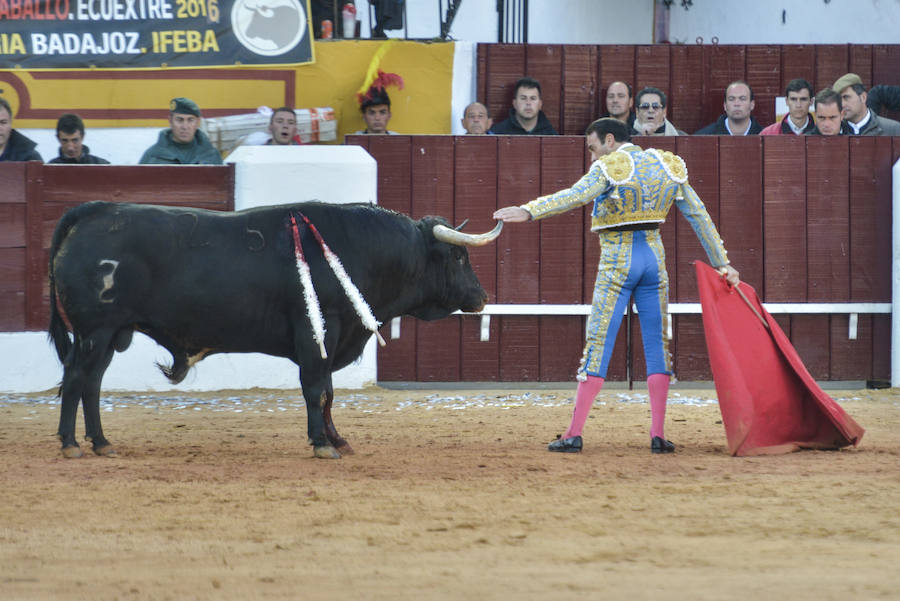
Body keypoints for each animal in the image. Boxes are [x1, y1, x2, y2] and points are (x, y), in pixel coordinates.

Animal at [49, 199, 502, 458]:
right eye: (458, 257)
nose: (481, 297)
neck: (358, 249)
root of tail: (93, 213)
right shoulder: (318, 333)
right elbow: (317, 389)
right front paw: (322, 445)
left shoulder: (328, 339)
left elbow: (327, 393)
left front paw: (336, 440)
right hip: (96, 331)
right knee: (76, 378)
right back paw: (71, 445)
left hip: (110, 334)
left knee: (92, 383)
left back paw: (102, 443)